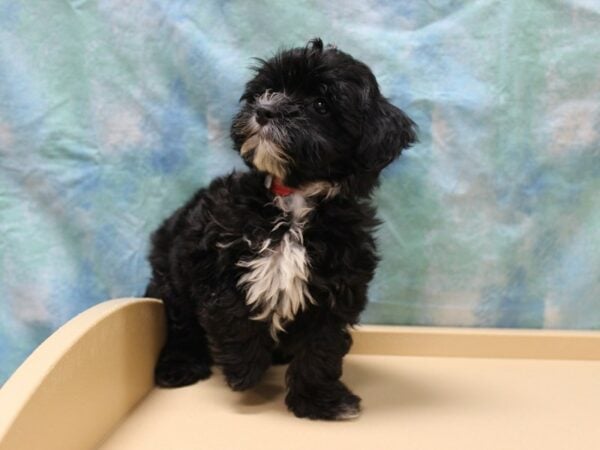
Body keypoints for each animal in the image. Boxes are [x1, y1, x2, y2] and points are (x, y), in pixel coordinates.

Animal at [146, 38, 418, 422]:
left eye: (320, 104)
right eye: (268, 90)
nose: (265, 110)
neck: (293, 199)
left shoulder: (336, 285)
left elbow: (322, 346)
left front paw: (319, 400)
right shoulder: (207, 254)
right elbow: (230, 310)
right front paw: (245, 371)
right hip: (169, 278)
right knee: (180, 322)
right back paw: (181, 364)